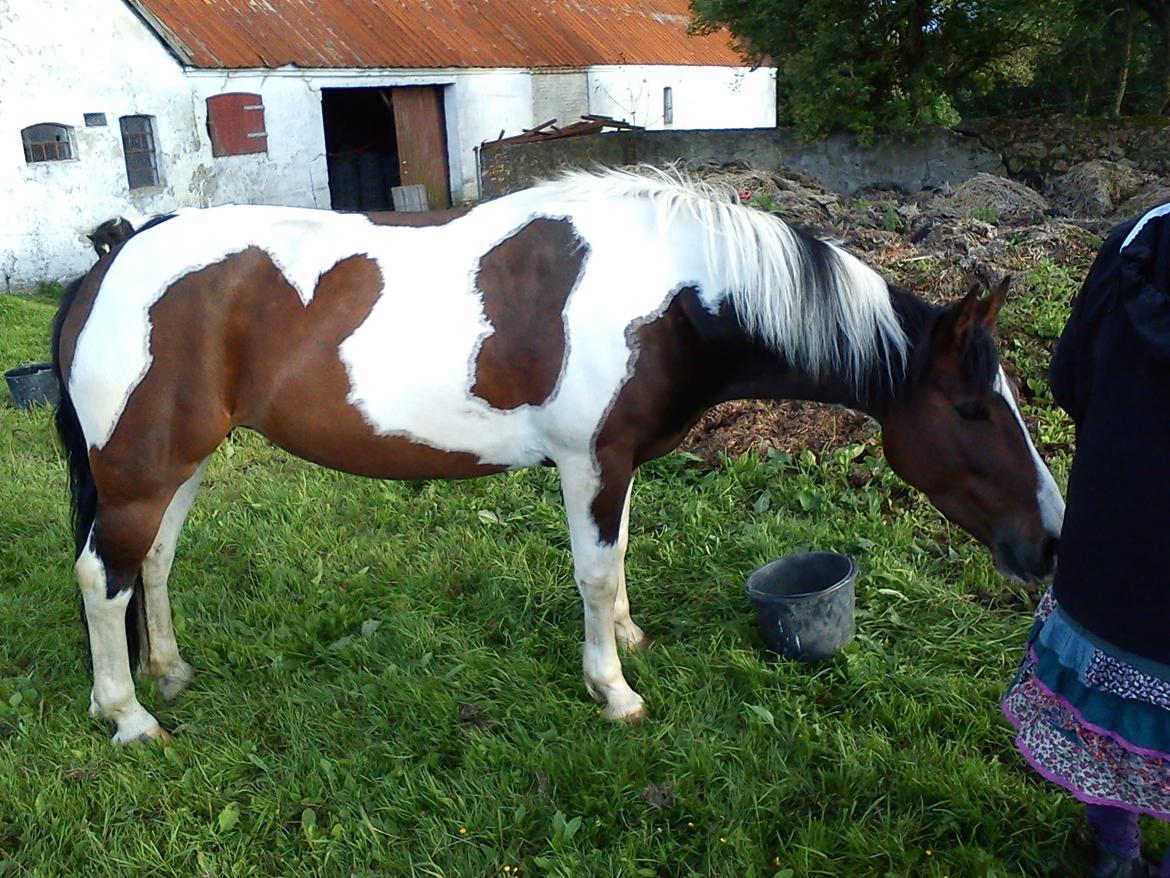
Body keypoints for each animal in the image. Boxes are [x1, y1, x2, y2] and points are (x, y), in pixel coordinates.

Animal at [52, 166, 1062, 744]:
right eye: (974, 408)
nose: (1050, 539)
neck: (675, 289)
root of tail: (107, 268)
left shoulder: (622, 465)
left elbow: (620, 563)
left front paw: (628, 640)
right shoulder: (591, 463)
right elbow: (594, 570)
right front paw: (613, 691)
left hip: (177, 465)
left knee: (156, 563)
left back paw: (168, 673)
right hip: (141, 470)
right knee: (104, 576)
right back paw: (127, 715)